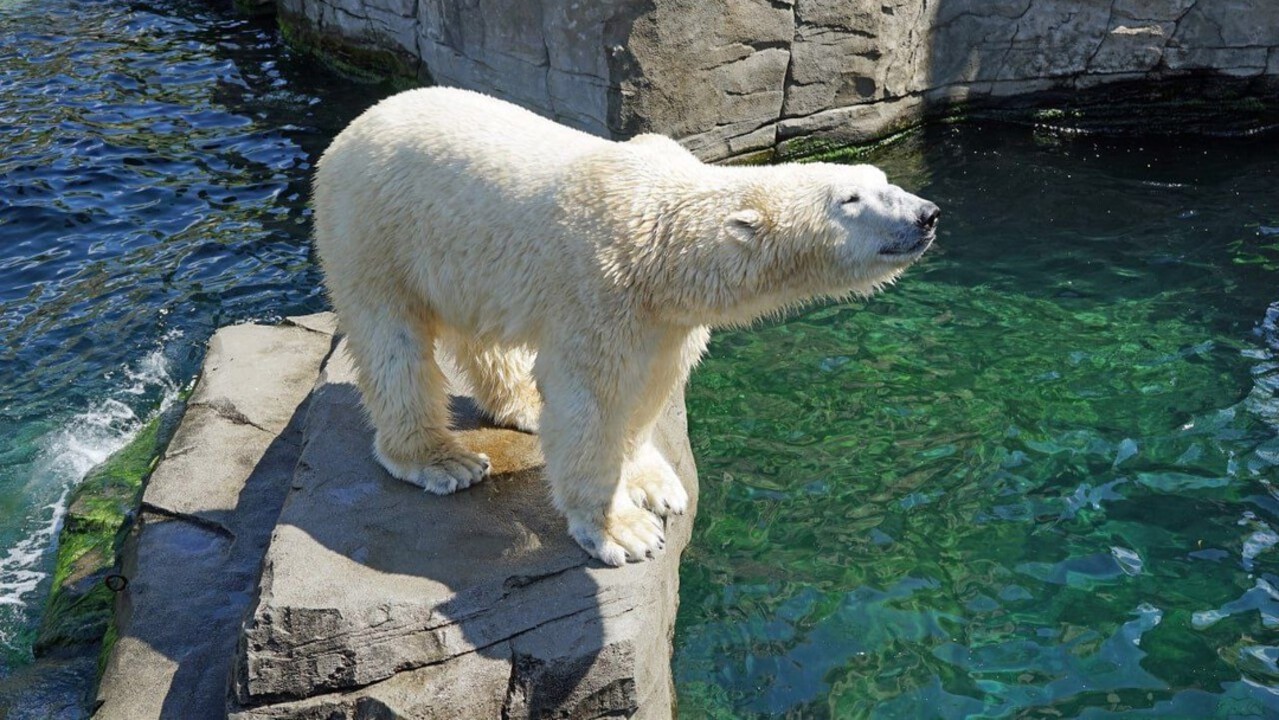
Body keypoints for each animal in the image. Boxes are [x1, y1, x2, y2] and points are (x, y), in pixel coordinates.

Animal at [312, 85, 941, 570]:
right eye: (851, 199)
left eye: (882, 177)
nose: (927, 214)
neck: (663, 239)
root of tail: (351, 128)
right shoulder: (600, 287)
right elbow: (591, 400)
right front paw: (625, 531)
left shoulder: (665, 318)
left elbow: (650, 388)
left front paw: (655, 484)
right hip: (371, 230)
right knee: (392, 344)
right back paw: (442, 460)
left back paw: (522, 405)